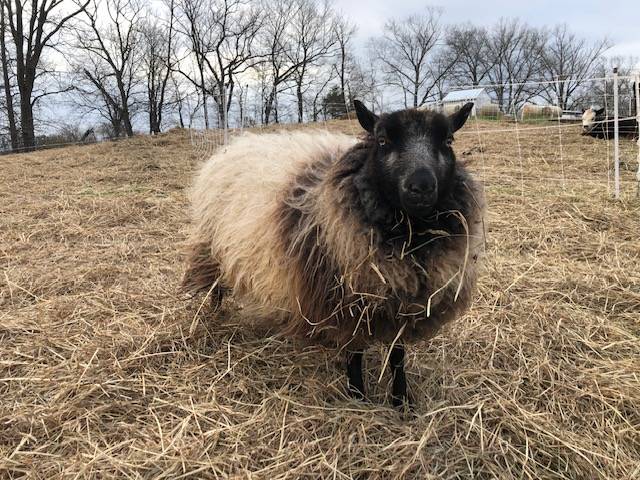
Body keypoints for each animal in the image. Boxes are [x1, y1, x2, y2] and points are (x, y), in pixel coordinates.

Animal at [182, 101, 485, 407]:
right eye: (382, 140)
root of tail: (235, 145)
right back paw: (215, 315)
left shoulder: (402, 301)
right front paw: (357, 396)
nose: (421, 187)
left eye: (448, 141)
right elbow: (354, 351)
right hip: (211, 246)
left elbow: (398, 353)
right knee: (215, 288)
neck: (410, 236)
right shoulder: (347, 300)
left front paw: (401, 399)